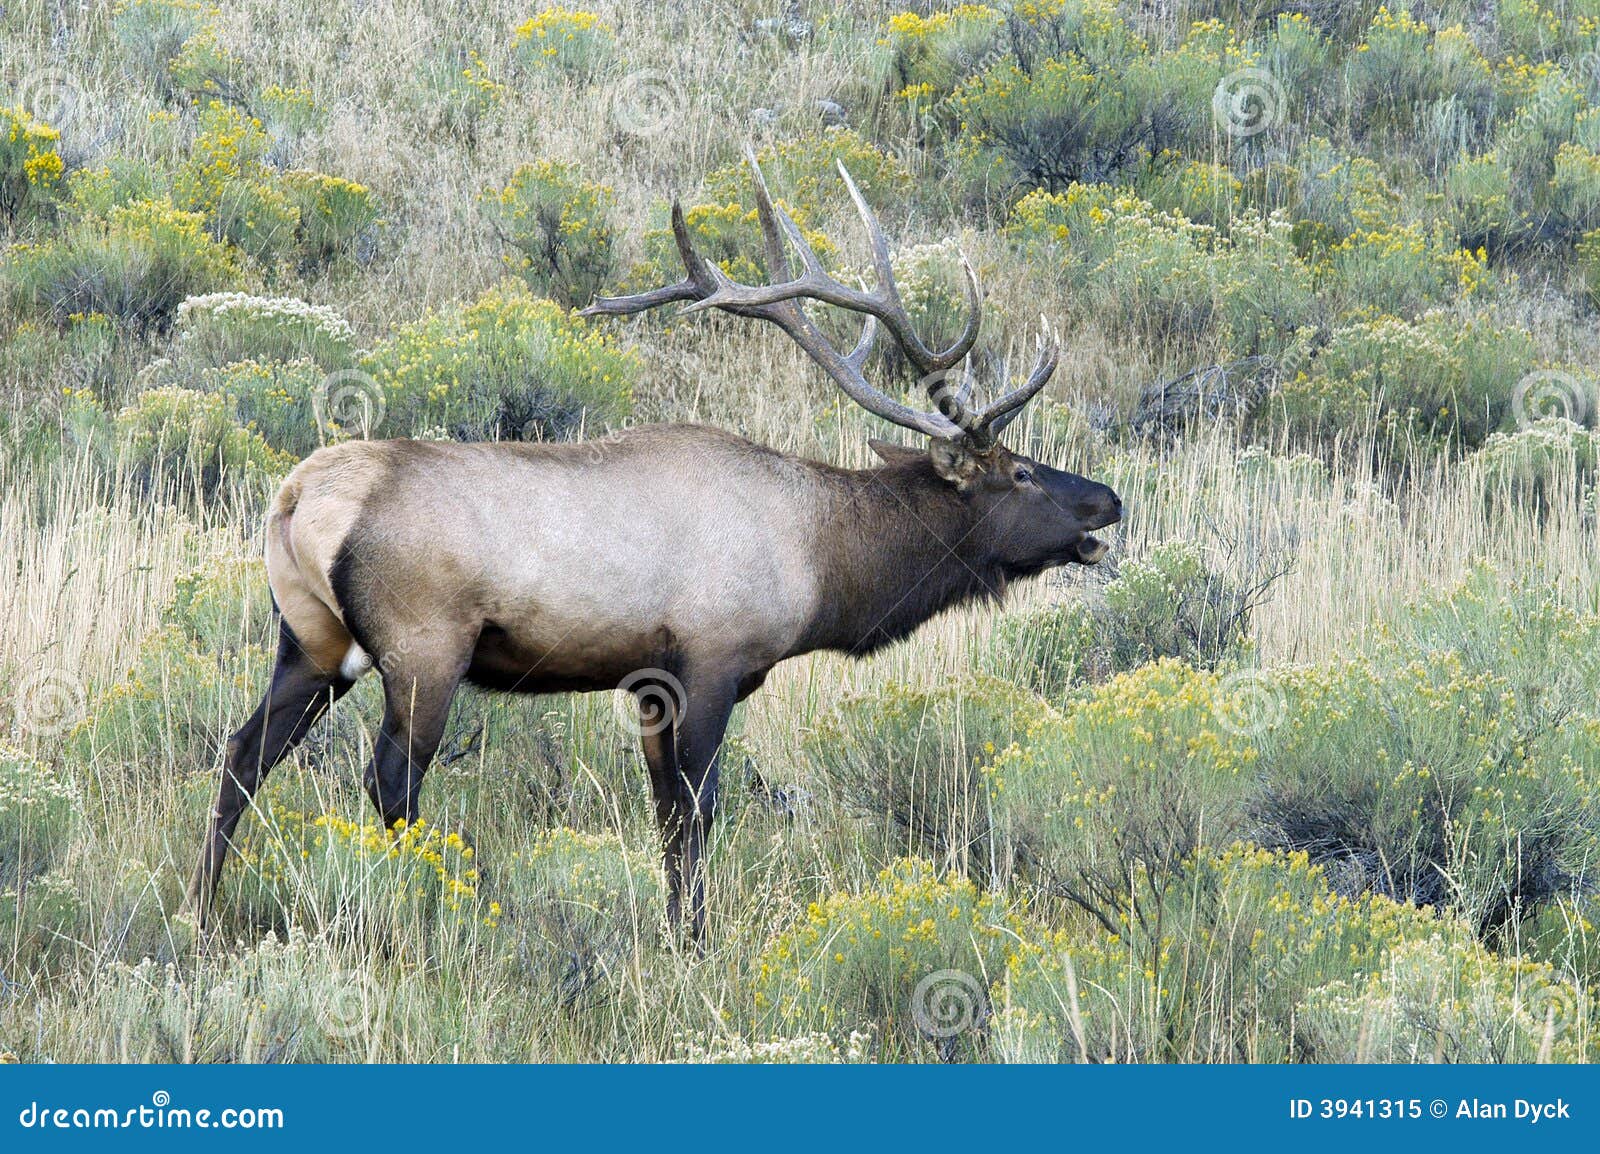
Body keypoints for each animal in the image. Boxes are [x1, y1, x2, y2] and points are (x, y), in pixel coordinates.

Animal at [189, 155, 1123, 941]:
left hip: (310, 641)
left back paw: (201, 916)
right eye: (1021, 472)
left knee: (242, 754)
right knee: (391, 778)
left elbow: (664, 812)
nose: (1107, 500)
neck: (820, 562)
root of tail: (295, 498)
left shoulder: (646, 682)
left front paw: (677, 928)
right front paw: (697, 938)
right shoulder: (708, 661)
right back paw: (421, 916)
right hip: (423, 647)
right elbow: (698, 810)